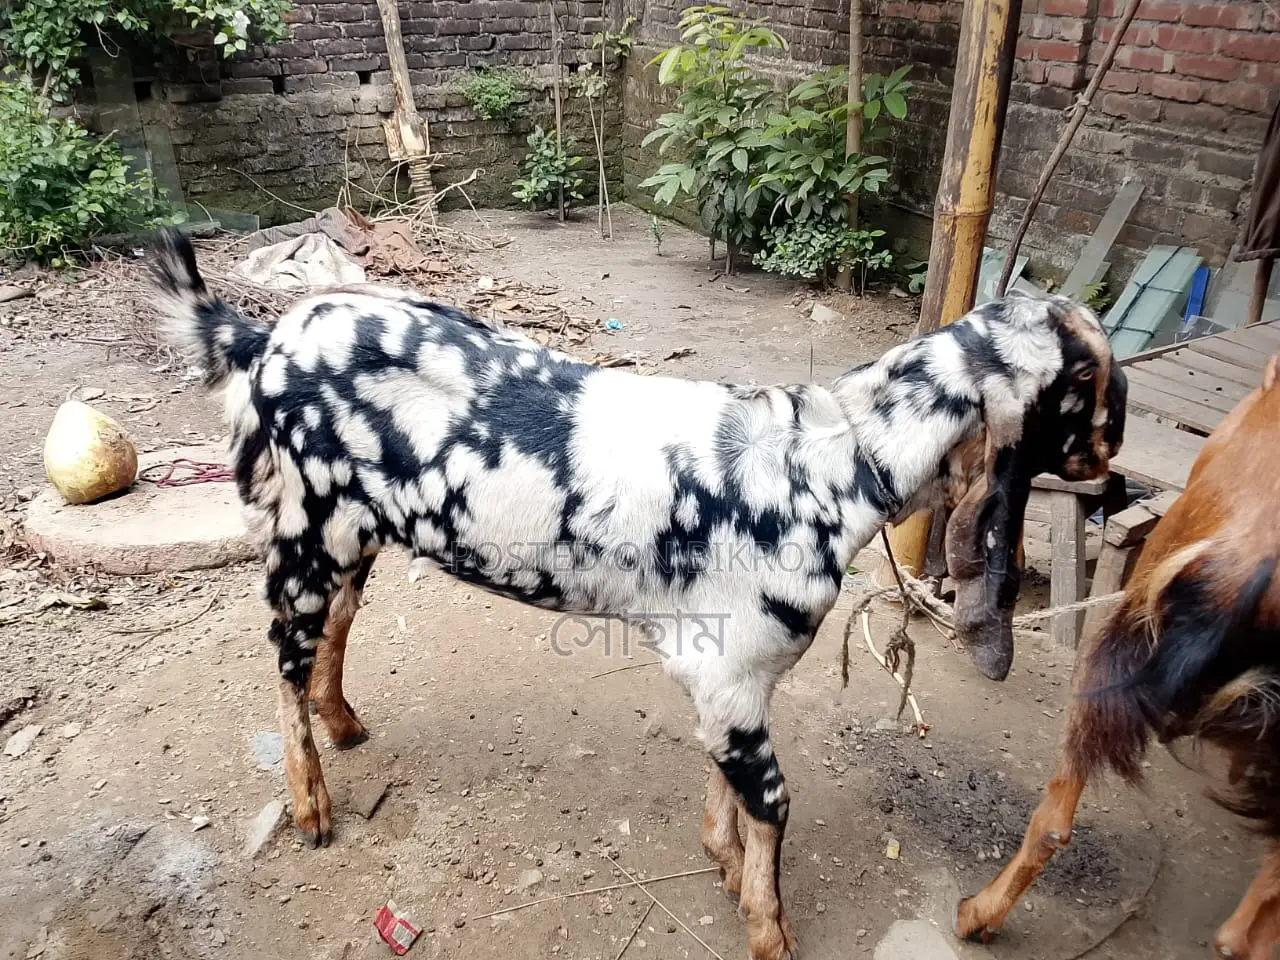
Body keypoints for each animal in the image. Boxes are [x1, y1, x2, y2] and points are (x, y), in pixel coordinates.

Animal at [150, 230, 1124, 960]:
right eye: (1100, 394)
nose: (1115, 482)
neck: (835, 460)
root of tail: (265, 340)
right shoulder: (730, 672)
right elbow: (773, 800)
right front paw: (770, 931)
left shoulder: (732, 680)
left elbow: (729, 786)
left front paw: (723, 864)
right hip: (304, 531)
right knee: (284, 651)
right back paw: (311, 802)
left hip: (355, 534)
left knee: (336, 627)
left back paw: (344, 721)